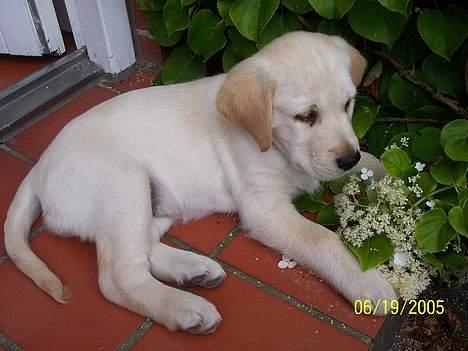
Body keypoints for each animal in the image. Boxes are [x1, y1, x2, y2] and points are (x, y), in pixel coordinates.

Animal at [5, 32, 394, 336]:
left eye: (348, 104)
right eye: (306, 116)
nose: (347, 159)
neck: (274, 145)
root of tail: (39, 166)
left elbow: (372, 160)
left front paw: (392, 174)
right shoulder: (264, 208)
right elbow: (322, 239)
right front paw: (368, 281)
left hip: (153, 199)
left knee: (143, 248)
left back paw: (193, 270)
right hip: (122, 183)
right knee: (117, 277)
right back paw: (185, 307)